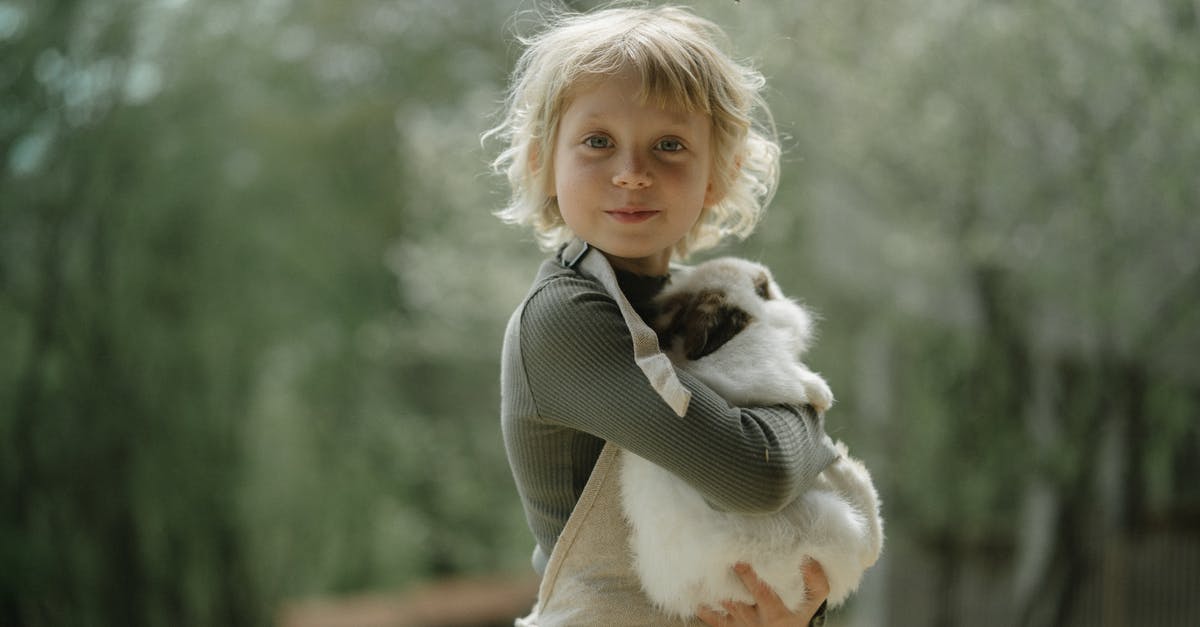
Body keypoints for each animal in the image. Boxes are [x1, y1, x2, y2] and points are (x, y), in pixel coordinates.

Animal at [619, 255, 883, 614]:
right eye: (762, 290)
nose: (780, 291)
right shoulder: (756, 372)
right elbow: (790, 380)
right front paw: (822, 394)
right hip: (833, 520)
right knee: (869, 539)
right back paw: (847, 466)